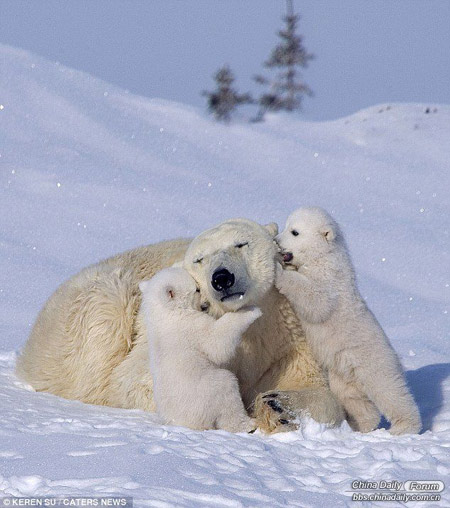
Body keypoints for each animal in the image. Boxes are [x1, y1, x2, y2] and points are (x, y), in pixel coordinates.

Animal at [140, 266, 260, 432]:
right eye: (197, 289)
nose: (206, 303)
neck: (166, 314)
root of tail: (184, 423)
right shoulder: (191, 326)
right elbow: (216, 342)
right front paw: (251, 310)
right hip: (206, 392)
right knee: (227, 391)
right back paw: (248, 424)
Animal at [276, 204, 420, 434]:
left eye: (295, 232)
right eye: (287, 225)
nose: (277, 241)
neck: (323, 256)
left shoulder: (330, 279)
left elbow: (316, 299)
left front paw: (277, 271)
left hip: (372, 362)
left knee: (390, 391)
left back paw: (404, 427)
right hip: (343, 370)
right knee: (353, 398)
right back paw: (359, 425)